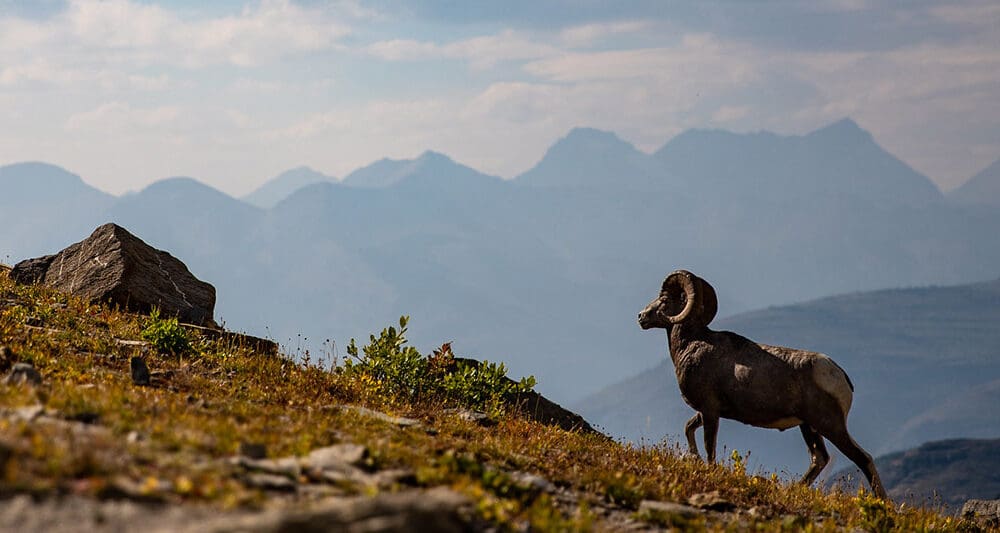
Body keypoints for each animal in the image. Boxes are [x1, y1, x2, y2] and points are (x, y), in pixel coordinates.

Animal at [637, 270, 888, 500]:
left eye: (664, 300)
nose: (640, 316)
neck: (691, 344)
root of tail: (839, 375)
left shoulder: (710, 411)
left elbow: (710, 447)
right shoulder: (705, 412)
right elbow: (689, 428)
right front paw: (694, 458)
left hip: (830, 425)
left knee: (861, 458)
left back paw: (882, 501)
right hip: (809, 426)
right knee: (820, 459)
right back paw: (793, 490)